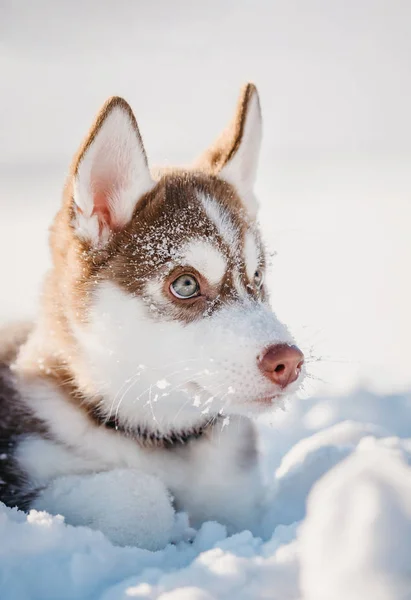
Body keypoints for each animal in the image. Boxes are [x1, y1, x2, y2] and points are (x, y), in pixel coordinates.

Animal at [0, 84, 302, 548]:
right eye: (186, 284)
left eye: (257, 276)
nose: (288, 361)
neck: (159, 440)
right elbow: (140, 499)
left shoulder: (233, 490)